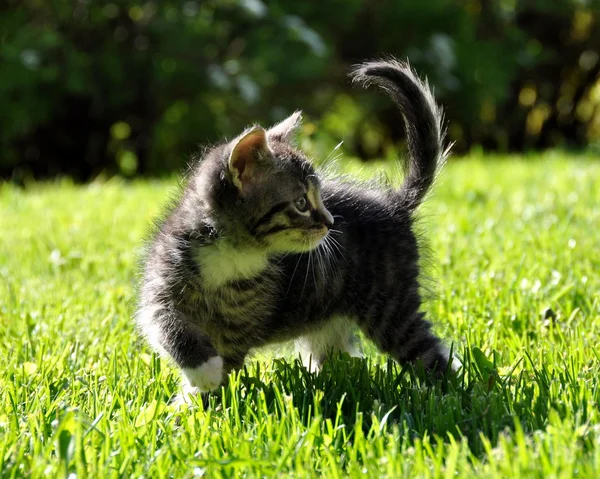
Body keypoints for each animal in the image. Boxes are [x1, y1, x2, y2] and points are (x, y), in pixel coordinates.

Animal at [137, 58, 454, 400]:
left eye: (321, 196)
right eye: (302, 202)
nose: (330, 222)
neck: (233, 255)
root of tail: (394, 204)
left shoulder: (237, 333)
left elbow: (224, 368)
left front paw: (196, 395)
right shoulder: (160, 285)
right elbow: (166, 324)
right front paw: (199, 375)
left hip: (390, 305)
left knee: (428, 351)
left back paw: (445, 394)